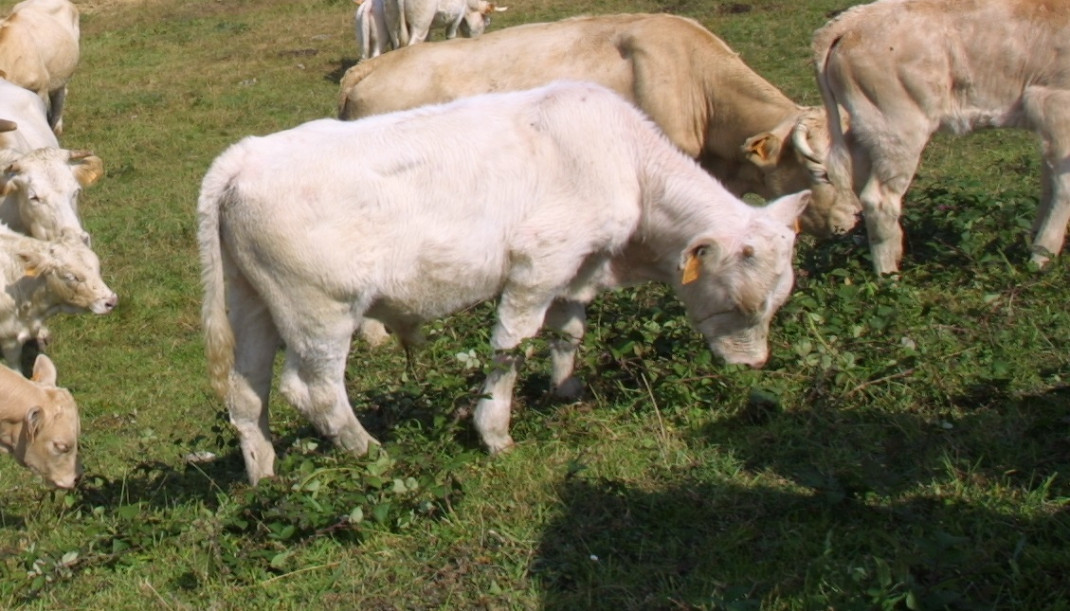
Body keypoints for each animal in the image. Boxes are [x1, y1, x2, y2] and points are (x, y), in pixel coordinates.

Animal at [199, 81, 809, 484]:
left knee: (246, 391)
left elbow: (569, 332)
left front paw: (565, 388)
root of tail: (244, 156)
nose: (754, 364)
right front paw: (494, 431)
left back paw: (264, 475)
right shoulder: (539, 263)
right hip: (320, 310)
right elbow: (510, 349)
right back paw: (371, 451)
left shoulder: (577, 267)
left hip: (253, 304)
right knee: (315, 390)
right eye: (746, 302)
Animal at [814, 0, 1070, 274]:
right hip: (898, 129)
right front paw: (1041, 260)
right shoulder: (1056, 106)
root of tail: (853, 19)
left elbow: (1048, 183)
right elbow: (1063, 187)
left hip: (867, 132)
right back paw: (888, 275)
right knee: (880, 200)